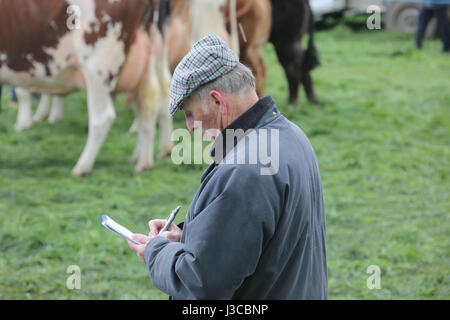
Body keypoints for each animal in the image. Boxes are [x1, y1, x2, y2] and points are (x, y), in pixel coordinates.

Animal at [0, 0, 173, 176]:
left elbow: (22, 91)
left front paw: (23, 123)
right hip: (146, 58)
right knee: (150, 102)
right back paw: (145, 161)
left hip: (98, 67)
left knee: (103, 117)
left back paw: (82, 167)